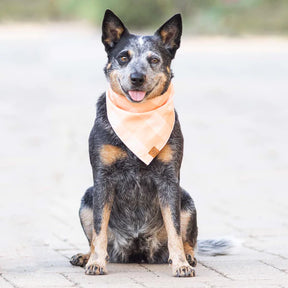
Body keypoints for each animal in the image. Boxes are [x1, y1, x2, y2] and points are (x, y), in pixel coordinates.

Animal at [69, 9, 230, 278]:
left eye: (154, 60)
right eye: (124, 57)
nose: (137, 77)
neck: (137, 118)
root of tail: (136, 251)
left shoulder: (169, 179)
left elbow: (175, 228)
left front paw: (181, 264)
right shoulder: (102, 178)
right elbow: (99, 229)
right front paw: (96, 262)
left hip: (186, 199)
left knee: (188, 238)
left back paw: (188, 255)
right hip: (87, 198)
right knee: (96, 238)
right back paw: (86, 256)